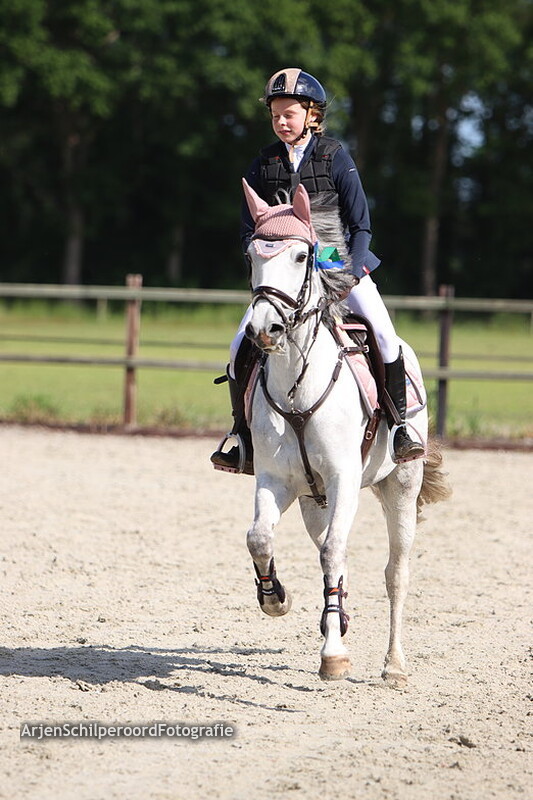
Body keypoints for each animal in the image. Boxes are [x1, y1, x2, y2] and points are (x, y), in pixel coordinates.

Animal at [240, 178, 451, 685]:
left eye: (302, 256)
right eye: (251, 255)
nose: (264, 329)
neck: (298, 383)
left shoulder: (343, 479)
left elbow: (335, 553)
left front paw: (333, 656)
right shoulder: (275, 480)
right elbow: (260, 539)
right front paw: (275, 599)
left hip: (400, 486)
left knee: (395, 572)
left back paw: (393, 666)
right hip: (313, 500)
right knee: (333, 556)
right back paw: (335, 618)